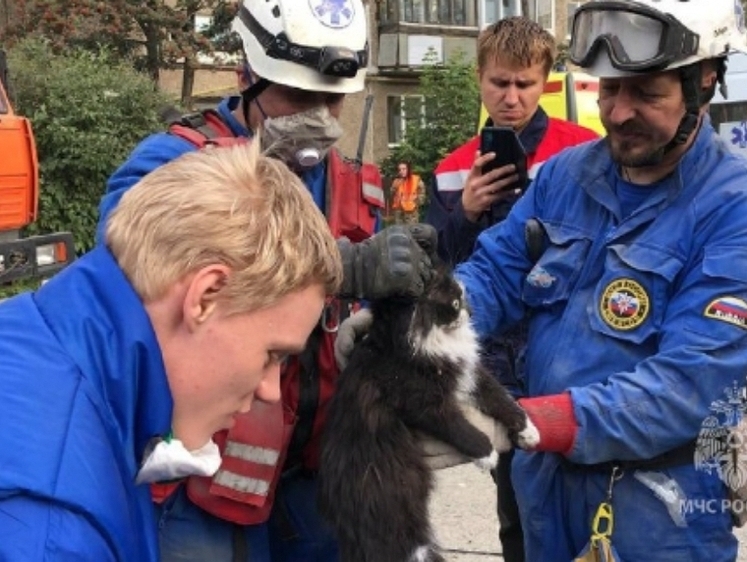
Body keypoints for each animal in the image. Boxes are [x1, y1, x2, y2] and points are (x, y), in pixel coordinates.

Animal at [318, 266, 540, 560]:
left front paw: (528, 430)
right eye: (455, 303)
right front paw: (488, 454)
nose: (471, 311)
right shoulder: (422, 402)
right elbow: (461, 428)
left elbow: (500, 397)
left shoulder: (469, 374)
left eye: (463, 296)